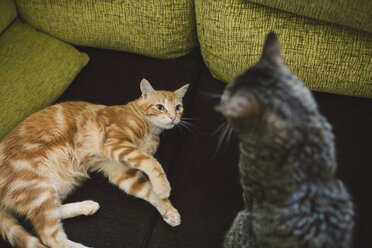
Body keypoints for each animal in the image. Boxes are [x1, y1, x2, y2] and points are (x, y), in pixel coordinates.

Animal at [0, 79, 189, 248]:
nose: (173, 117)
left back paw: (87, 206)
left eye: (178, 107)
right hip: (39, 189)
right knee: (50, 237)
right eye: (160, 107)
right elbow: (152, 163)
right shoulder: (115, 144)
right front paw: (163, 187)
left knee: (52, 212)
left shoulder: (122, 171)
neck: (150, 130)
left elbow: (148, 191)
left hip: (57, 186)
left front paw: (169, 211)